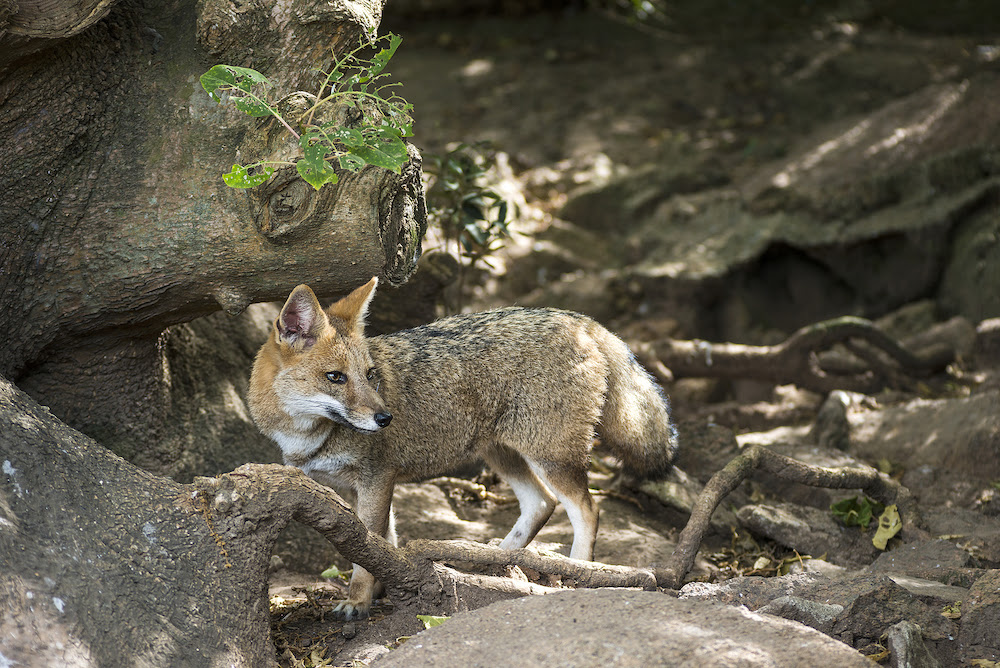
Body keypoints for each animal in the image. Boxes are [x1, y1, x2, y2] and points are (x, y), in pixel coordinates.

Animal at [248, 277, 678, 619]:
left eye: (370, 376)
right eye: (335, 377)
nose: (385, 418)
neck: (305, 436)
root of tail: (577, 319)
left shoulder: (376, 479)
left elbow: (365, 551)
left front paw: (358, 601)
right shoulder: (364, 486)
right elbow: (384, 543)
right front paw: (386, 587)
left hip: (549, 459)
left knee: (587, 510)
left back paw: (579, 574)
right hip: (502, 456)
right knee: (541, 504)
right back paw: (494, 564)